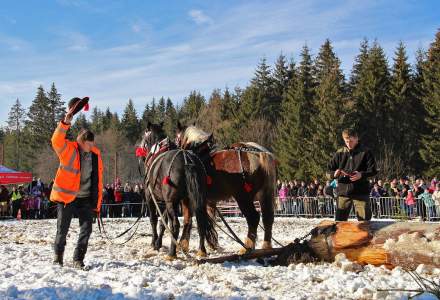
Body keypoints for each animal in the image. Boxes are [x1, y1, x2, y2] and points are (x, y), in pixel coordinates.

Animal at [140, 122, 217, 258]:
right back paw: (201, 251)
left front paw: (154, 242)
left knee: (175, 224)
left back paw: (172, 253)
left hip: (171, 201)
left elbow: (154, 220)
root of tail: (187, 160)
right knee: (200, 221)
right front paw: (158, 242)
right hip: (195, 198)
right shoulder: (170, 201)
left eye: (144, 136)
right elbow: (163, 222)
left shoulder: (151, 197)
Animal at [175, 122, 276, 253]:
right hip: (264, 194)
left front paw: (183, 245)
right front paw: (212, 244)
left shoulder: (188, 199)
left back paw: (247, 247)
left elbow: (188, 219)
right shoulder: (209, 201)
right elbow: (210, 220)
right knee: (268, 218)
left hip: (243, 198)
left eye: (177, 138)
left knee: (253, 218)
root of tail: (259, 153)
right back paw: (266, 246)